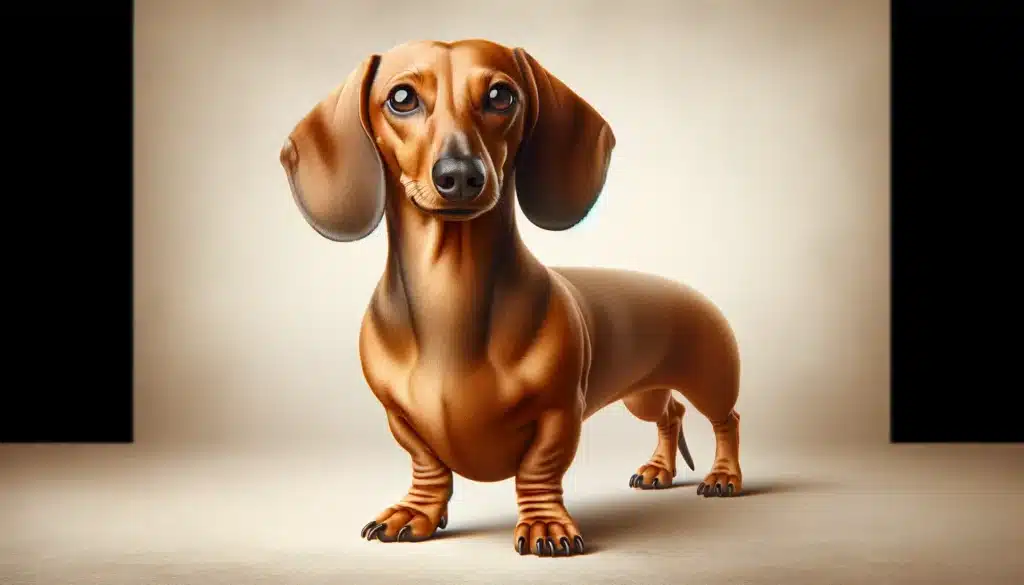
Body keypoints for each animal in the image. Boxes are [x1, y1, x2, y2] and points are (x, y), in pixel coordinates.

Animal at [280, 38, 745, 557]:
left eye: (501, 95)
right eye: (401, 98)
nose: (461, 174)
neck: (450, 298)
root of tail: (690, 290)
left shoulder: (559, 412)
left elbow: (539, 468)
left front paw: (545, 524)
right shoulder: (399, 417)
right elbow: (427, 463)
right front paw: (416, 512)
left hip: (711, 379)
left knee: (725, 419)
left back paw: (724, 477)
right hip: (643, 395)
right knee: (671, 414)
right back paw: (658, 470)